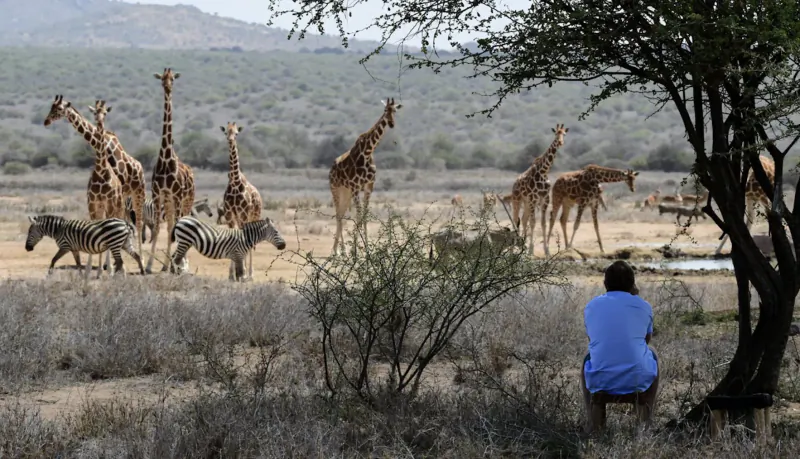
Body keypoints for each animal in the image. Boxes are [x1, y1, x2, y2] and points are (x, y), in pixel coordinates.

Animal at [43, 95, 147, 259]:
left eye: (59, 108)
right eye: (51, 107)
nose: (46, 121)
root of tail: (140, 166)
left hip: (138, 193)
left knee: (139, 222)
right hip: (125, 196)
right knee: (128, 220)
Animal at [219, 121, 263, 280]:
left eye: (237, 133)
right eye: (226, 132)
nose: (230, 140)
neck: (235, 183)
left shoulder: (243, 214)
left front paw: (243, 273)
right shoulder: (229, 214)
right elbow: (233, 237)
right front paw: (232, 275)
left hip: (254, 215)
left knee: (252, 241)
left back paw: (250, 274)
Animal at [329, 97, 402, 256]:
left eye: (395, 110)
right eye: (385, 110)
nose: (391, 124)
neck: (368, 152)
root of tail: (331, 167)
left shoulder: (369, 186)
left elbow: (364, 216)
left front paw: (367, 249)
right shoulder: (356, 187)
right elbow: (359, 216)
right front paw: (355, 250)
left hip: (346, 192)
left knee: (342, 214)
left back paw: (342, 250)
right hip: (335, 189)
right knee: (338, 214)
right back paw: (336, 251)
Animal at [509, 124, 569, 255]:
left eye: (564, 134)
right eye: (556, 134)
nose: (561, 142)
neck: (544, 171)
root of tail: (514, 183)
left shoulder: (544, 199)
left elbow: (543, 223)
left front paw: (546, 250)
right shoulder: (533, 198)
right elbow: (533, 223)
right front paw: (531, 250)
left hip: (526, 202)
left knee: (523, 219)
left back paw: (523, 247)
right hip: (517, 200)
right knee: (515, 220)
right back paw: (512, 250)